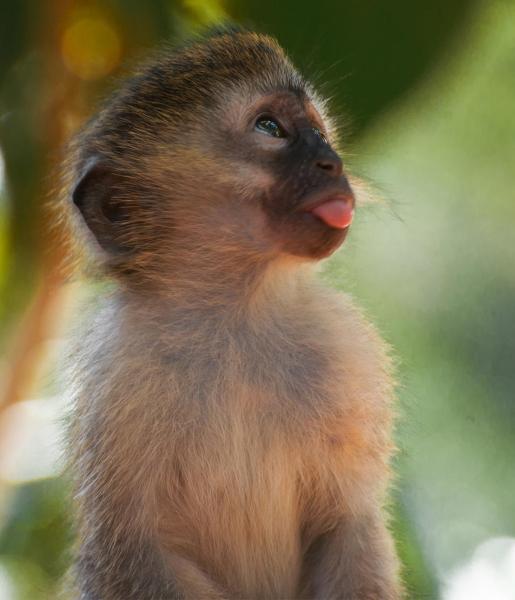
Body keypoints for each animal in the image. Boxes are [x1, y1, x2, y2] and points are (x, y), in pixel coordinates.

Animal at [63, 28, 404, 600]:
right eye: (270, 128)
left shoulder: (343, 348)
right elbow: (134, 552)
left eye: (317, 130)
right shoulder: (119, 377)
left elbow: (347, 524)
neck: (234, 316)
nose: (331, 163)